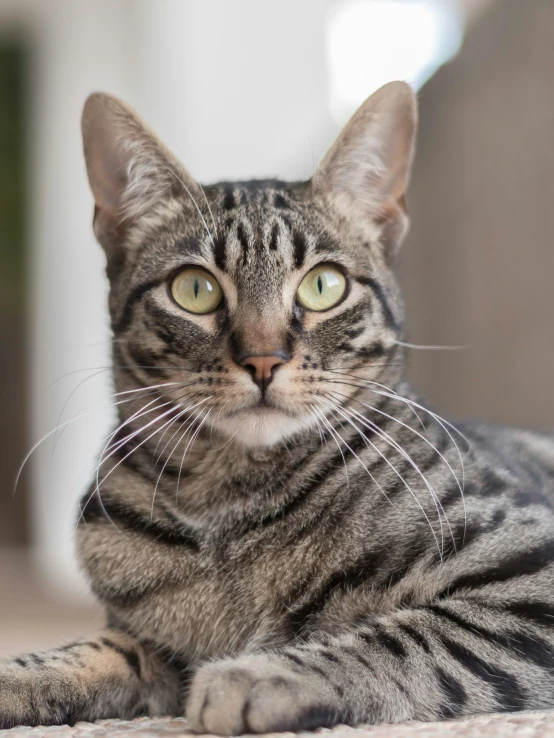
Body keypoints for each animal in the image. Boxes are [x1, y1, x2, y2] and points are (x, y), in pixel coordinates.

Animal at [1, 82, 552, 732]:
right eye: (194, 289)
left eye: (323, 285)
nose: (264, 360)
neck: (232, 504)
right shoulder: (147, 644)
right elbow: (86, 651)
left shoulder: (530, 575)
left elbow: (406, 636)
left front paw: (260, 673)